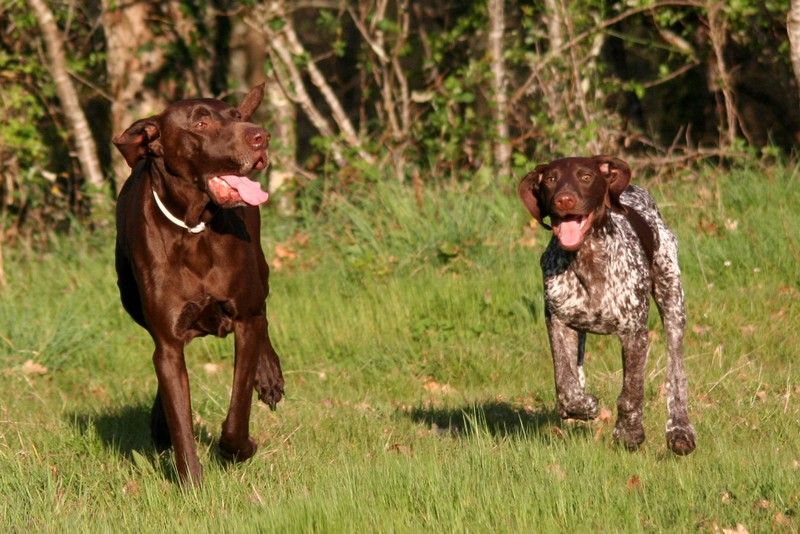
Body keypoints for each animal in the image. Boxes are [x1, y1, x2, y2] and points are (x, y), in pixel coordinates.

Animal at [112, 84, 286, 486]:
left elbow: (239, 405)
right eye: (200, 124)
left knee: (264, 315)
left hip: (261, 271)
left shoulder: (244, 320)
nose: (261, 136)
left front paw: (239, 449)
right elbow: (181, 419)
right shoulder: (169, 343)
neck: (193, 229)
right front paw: (191, 483)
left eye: (235, 116)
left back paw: (269, 375)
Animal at [520, 155, 692, 456]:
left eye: (586, 177)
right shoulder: (558, 321)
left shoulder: (634, 333)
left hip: (672, 299)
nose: (565, 200)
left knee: (676, 373)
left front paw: (629, 434)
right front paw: (582, 405)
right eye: (551, 179)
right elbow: (565, 385)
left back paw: (679, 431)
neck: (586, 256)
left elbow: (631, 392)